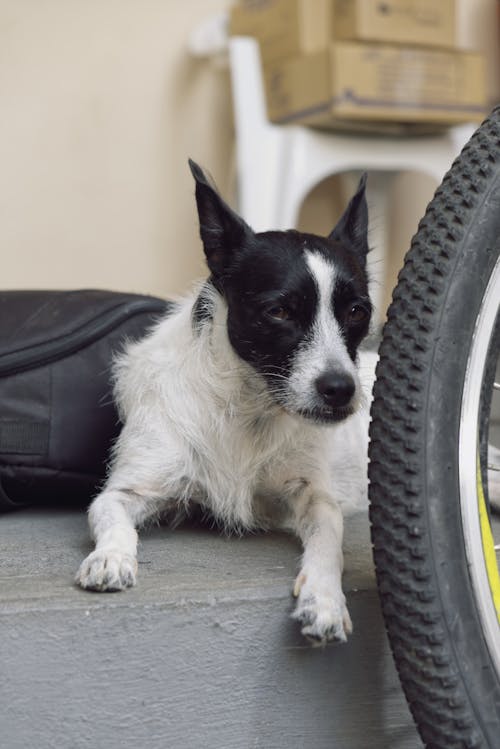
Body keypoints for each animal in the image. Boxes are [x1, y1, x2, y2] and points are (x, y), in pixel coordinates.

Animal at [75, 161, 376, 644]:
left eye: (357, 311)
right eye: (279, 311)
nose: (341, 389)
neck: (248, 405)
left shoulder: (314, 497)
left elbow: (329, 542)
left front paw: (325, 598)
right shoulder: (125, 492)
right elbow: (114, 520)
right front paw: (112, 557)